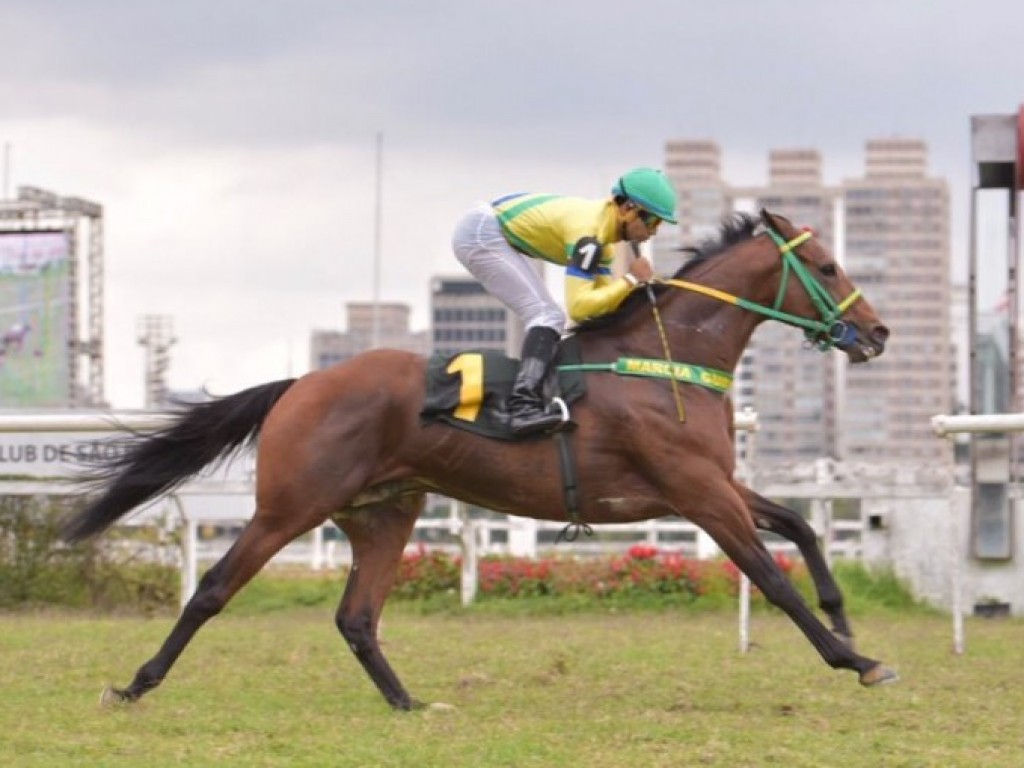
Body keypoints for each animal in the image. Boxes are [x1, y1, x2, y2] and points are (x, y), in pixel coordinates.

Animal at [64, 208, 897, 708]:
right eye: (827, 267)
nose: (878, 333)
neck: (666, 357)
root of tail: (302, 383)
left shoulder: (712, 484)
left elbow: (802, 526)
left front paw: (847, 623)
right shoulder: (697, 491)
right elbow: (771, 578)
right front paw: (855, 659)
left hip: (384, 511)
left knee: (356, 616)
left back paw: (408, 704)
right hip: (290, 505)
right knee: (211, 590)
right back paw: (135, 685)